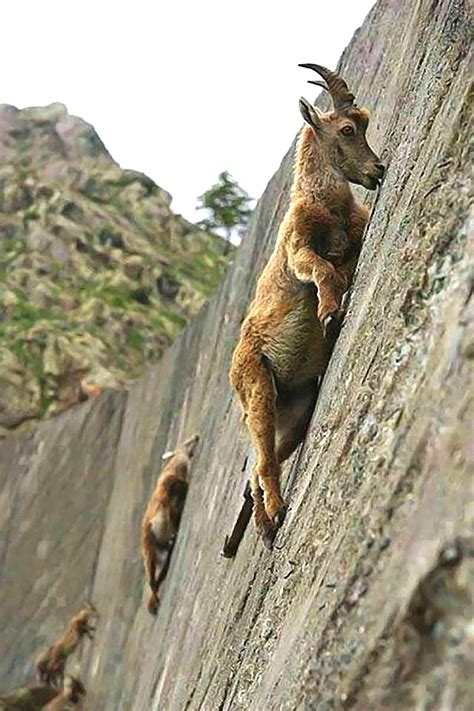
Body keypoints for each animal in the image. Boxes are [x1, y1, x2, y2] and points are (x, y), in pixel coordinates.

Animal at [230, 64, 384, 549]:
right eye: (348, 128)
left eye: (365, 123)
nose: (378, 169)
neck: (324, 205)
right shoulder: (298, 250)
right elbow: (322, 271)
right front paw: (330, 313)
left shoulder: (354, 233)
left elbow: (344, 264)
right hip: (259, 387)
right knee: (262, 463)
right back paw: (276, 515)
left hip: (297, 406)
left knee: (260, 469)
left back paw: (263, 525)